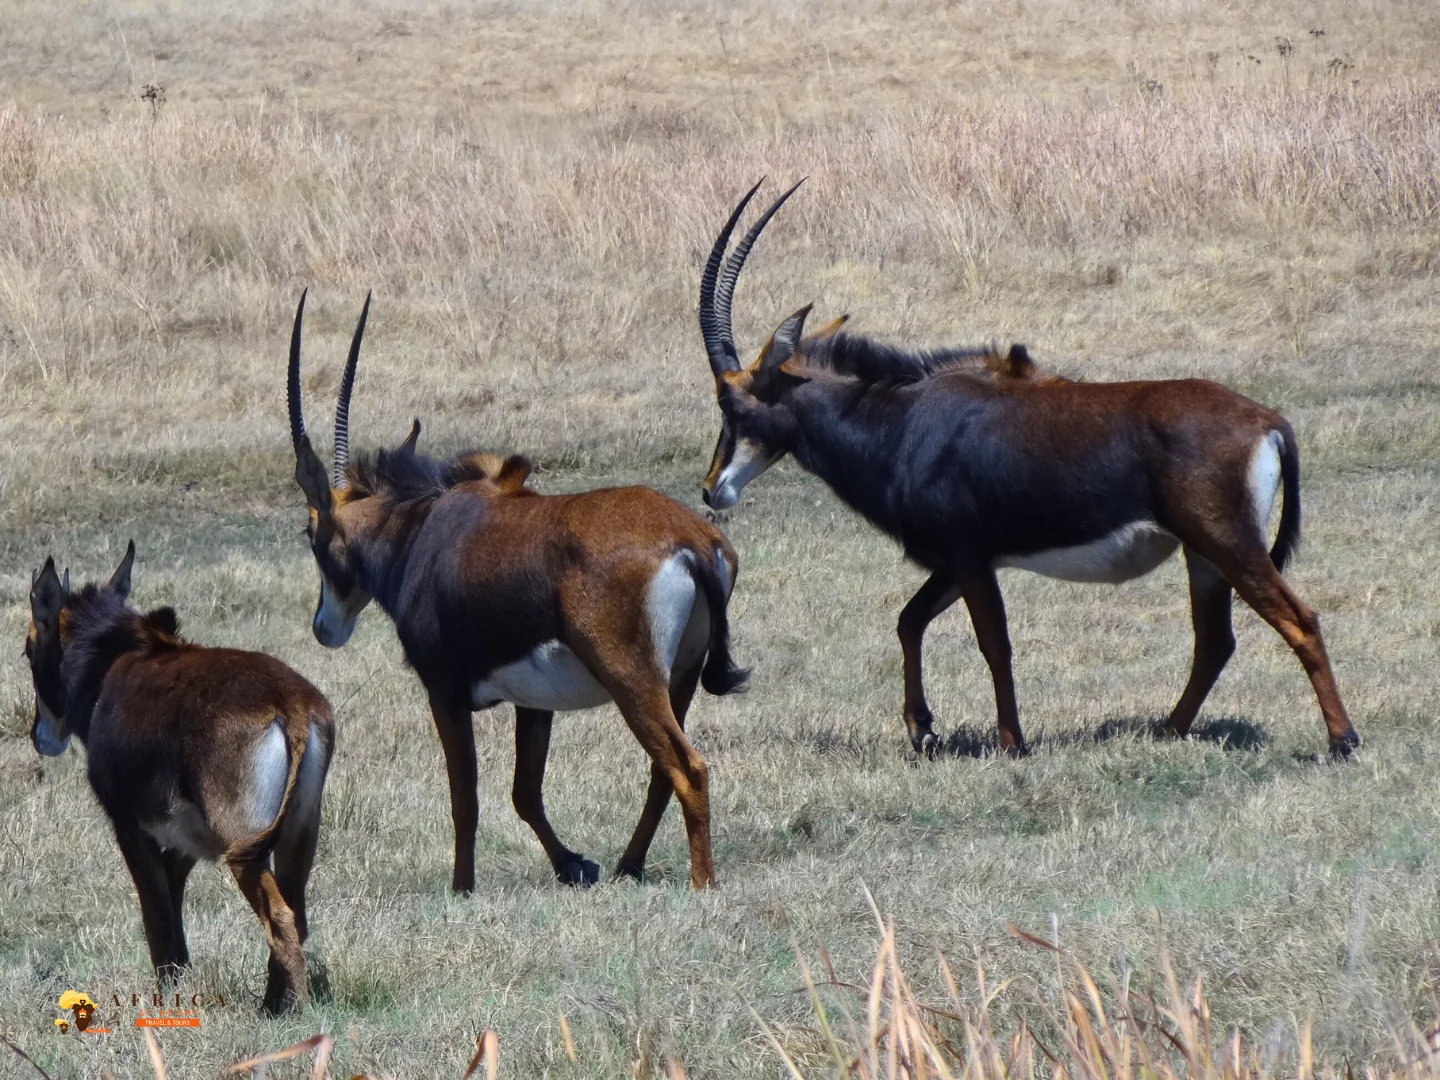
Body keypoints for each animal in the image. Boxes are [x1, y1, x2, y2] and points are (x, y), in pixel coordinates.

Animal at [25, 544, 333, 1014]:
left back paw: (296, 1011)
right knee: (295, 911)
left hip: (242, 843)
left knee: (279, 916)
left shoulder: (131, 830)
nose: (38, 737)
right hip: (298, 835)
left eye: (28, 650)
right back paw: (271, 1008)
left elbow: (157, 921)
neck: (110, 663)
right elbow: (174, 921)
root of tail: (292, 704)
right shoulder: (184, 845)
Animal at [284, 292, 747, 892]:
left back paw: (701, 882)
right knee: (661, 770)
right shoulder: (535, 703)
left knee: (686, 766)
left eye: (309, 532)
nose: (325, 627)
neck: (418, 532)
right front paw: (575, 865)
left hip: (632, 678)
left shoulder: (444, 692)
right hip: (682, 678)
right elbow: (525, 793)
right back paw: (628, 866)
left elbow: (467, 799)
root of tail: (693, 539)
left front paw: (462, 888)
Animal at [696, 180, 1359, 760]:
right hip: (1203, 556)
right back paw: (1168, 731)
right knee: (1215, 641)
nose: (710, 489)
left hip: (1226, 541)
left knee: (1298, 620)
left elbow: (994, 645)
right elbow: (908, 622)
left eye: (731, 404)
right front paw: (923, 731)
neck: (902, 422)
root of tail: (1268, 421)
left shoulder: (967, 557)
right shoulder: (961, 559)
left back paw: (1341, 741)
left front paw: (1011, 744)